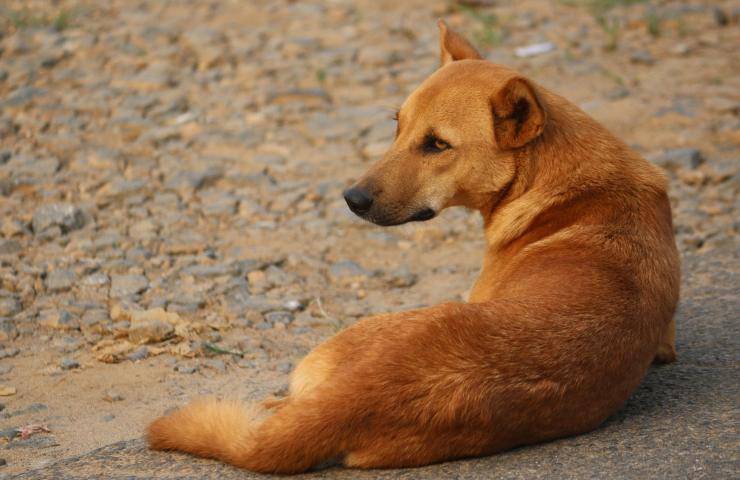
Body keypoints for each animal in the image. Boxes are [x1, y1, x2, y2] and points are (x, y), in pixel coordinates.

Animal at [146, 21, 684, 472]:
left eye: (437, 145)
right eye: (396, 125)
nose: (352, 199)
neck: (565, 186)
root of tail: (355, 399)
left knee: (281, 405)